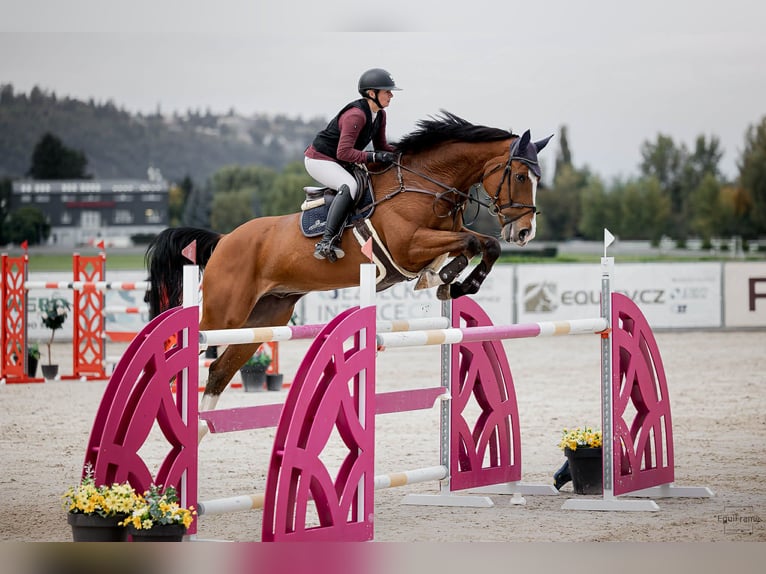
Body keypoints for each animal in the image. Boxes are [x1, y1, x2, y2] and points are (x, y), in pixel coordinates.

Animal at [145, 111, 552, 421]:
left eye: (536, 179)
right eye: (519, 176)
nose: (525, 232)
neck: (424, 185)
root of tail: (224, 239)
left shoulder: (443, 235)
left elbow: (484, 244)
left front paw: (450, 281)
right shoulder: (408, 246)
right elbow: (468, 244)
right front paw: (446, 279)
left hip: (264, 317)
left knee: (219, 370)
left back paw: (200, 428)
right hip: (224, 314)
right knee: (182, 349)